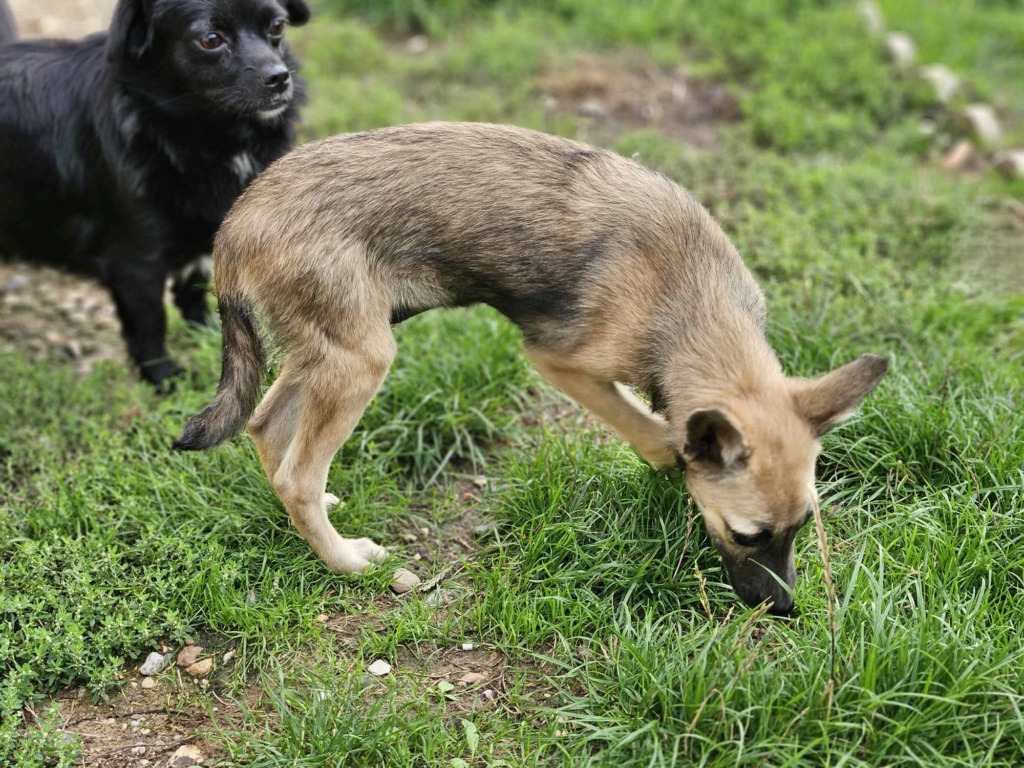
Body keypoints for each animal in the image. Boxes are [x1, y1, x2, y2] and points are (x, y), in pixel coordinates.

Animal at [1, 0, 311, 385]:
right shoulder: (136, 262)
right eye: (210, 39)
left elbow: (195, 287)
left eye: (277, 26)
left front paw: (208, 336)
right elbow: (151, 324)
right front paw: (164, 377)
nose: (280, 77)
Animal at [176, 121, 888, 614]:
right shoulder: (560, 362)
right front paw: (671, 461)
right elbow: (656, 435)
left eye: (803, 527)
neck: (691, 300)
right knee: (296, 471)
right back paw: (345, 560)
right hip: (361, 358)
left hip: (333, 349)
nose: (785, 609)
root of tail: (234, 225)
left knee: (269, 428)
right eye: (747, 534)